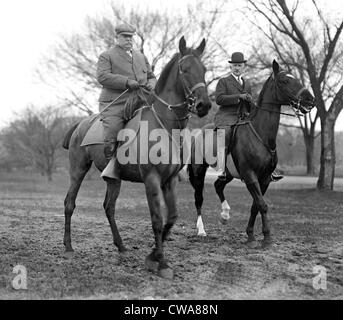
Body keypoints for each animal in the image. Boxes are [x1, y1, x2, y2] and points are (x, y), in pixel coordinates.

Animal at [62, 36, 212, 278]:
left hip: (113, 179)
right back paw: (68, 246)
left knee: (109, 207)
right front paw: (161, 263)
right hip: (78, 170)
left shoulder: (170, 180)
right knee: (69, 203)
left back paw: (121, 247)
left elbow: (172, 217)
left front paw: (153, 256)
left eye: (204, 69)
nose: (204, 105)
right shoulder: (151, 178)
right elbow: (157, 219)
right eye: (185, 69)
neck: (164, 126)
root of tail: (80, 124)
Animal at [189, 60, 316, 248]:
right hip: (199, 171)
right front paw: (267, 238)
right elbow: (262, 205)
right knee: (199, 198)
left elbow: (255, 206)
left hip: (229, 174)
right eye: (285, 81)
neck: (260, 134)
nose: (310, 100)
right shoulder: (250, 175)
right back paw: (201, 231)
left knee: (218, 185)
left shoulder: (265, 179)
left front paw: (250, 235)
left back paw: (225, 215)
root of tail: (199, 132)